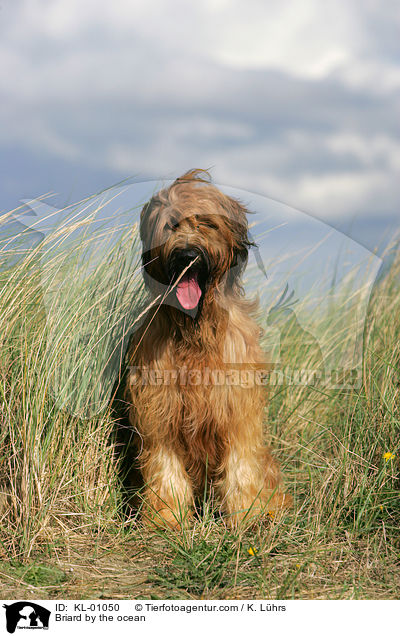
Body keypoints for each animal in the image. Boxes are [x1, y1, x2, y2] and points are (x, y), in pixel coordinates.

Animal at [123, 169, 290, 528]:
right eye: (170, 225)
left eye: (206, 224)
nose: (187, 255)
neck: (195, 329)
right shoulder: (160, 408)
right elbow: (164, 464)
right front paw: (167, 518)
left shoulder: (237, 406)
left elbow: (241, 462)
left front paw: (247, 515)